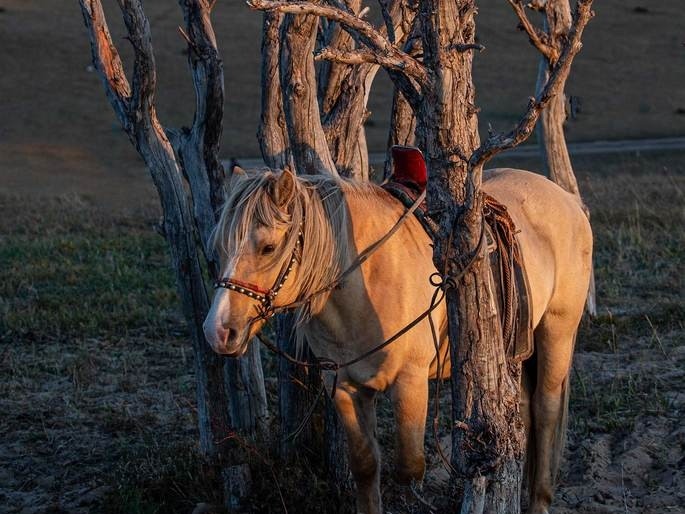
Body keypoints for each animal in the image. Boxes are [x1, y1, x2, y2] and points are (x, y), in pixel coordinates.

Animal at [200, 165, 592, 512]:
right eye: (216, 248)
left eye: (267, 248)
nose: (217, 331)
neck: (366, 281)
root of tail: (569, 200)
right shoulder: (342, 385)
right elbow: (364, 465)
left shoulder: (410, 382)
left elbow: (408, 472)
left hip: (557, 332)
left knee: (545, 411)